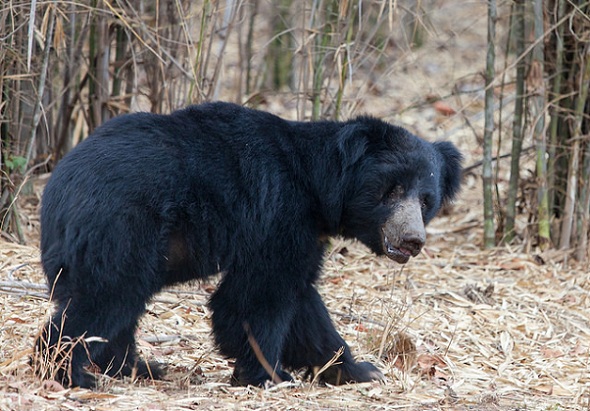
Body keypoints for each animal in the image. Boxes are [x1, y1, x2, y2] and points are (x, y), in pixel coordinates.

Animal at [35, 102, 462, 390]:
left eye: (426, 200)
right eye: (391, 191)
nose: (412, 240)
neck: (318, 188)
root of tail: (59, 188)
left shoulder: (305, 234)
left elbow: (304, 305)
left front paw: (356, 370)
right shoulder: (278, 216)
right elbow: (256, 297)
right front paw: (271, 375)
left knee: (119, 307)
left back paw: (138, 368)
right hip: (123, 229)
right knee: (105, 299)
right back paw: (66, 373)